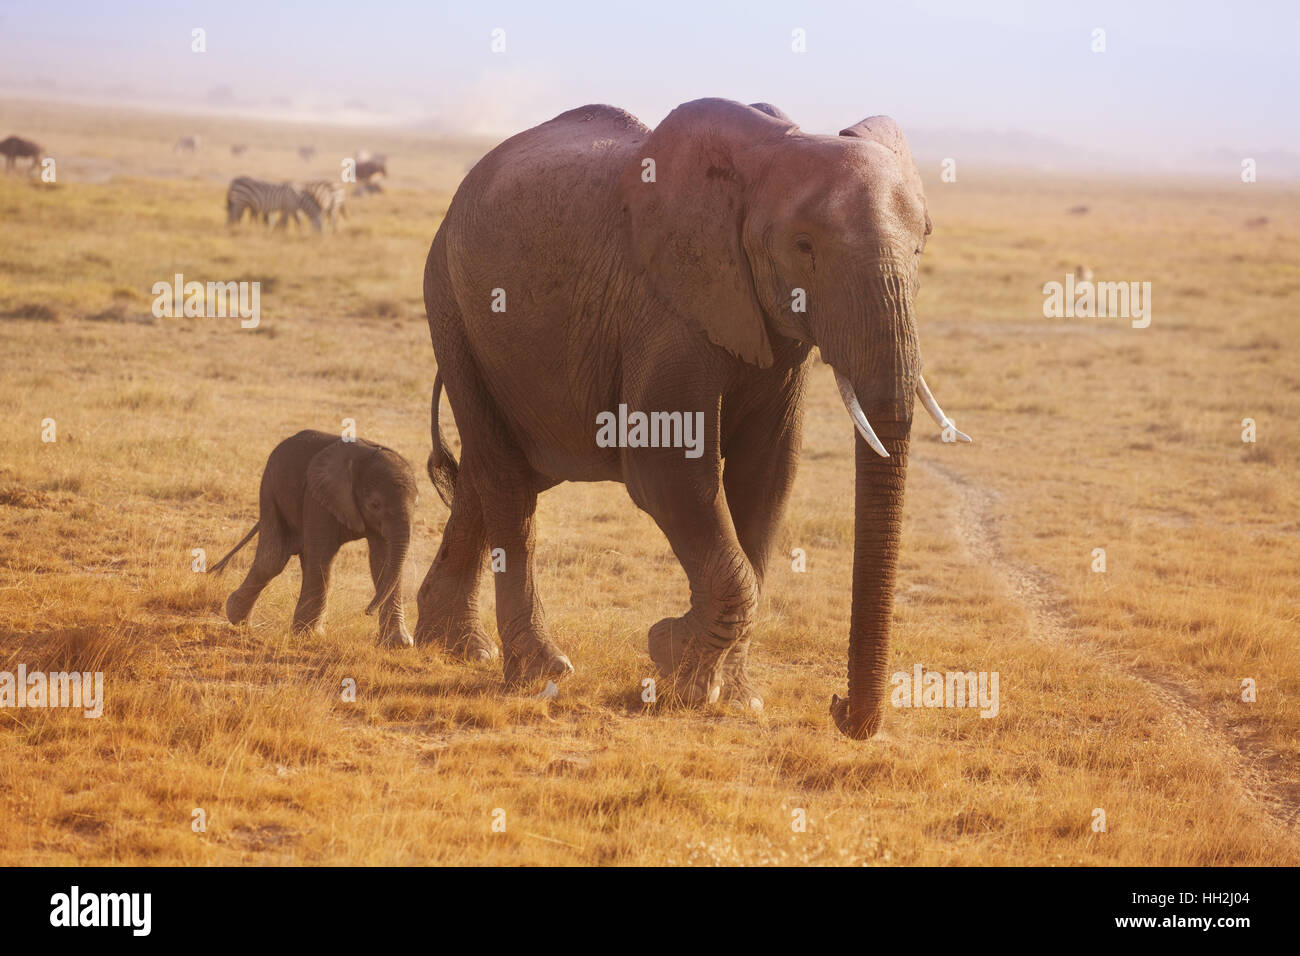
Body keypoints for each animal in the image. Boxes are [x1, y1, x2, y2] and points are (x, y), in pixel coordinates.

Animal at [210, 429, 418, 647]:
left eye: (417, 505)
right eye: (375, 505)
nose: (367, 611)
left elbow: (384, 561)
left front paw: (399, 644)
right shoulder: (317, 495)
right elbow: (323, 553)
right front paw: (311, 636)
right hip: (269, 488)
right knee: (273, 559)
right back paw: (236, 617)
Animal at [413, 97, 967, 738]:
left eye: (923, 244)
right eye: (804, 246)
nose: (837, 706)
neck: (768, 151)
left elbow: (768, 476)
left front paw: (734, 696)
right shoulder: (665, 306)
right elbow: (667, 470)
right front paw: (677, 663)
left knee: (494, 472)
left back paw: (453, 646)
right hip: (451, 305)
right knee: (505, 479)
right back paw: (538, 671)